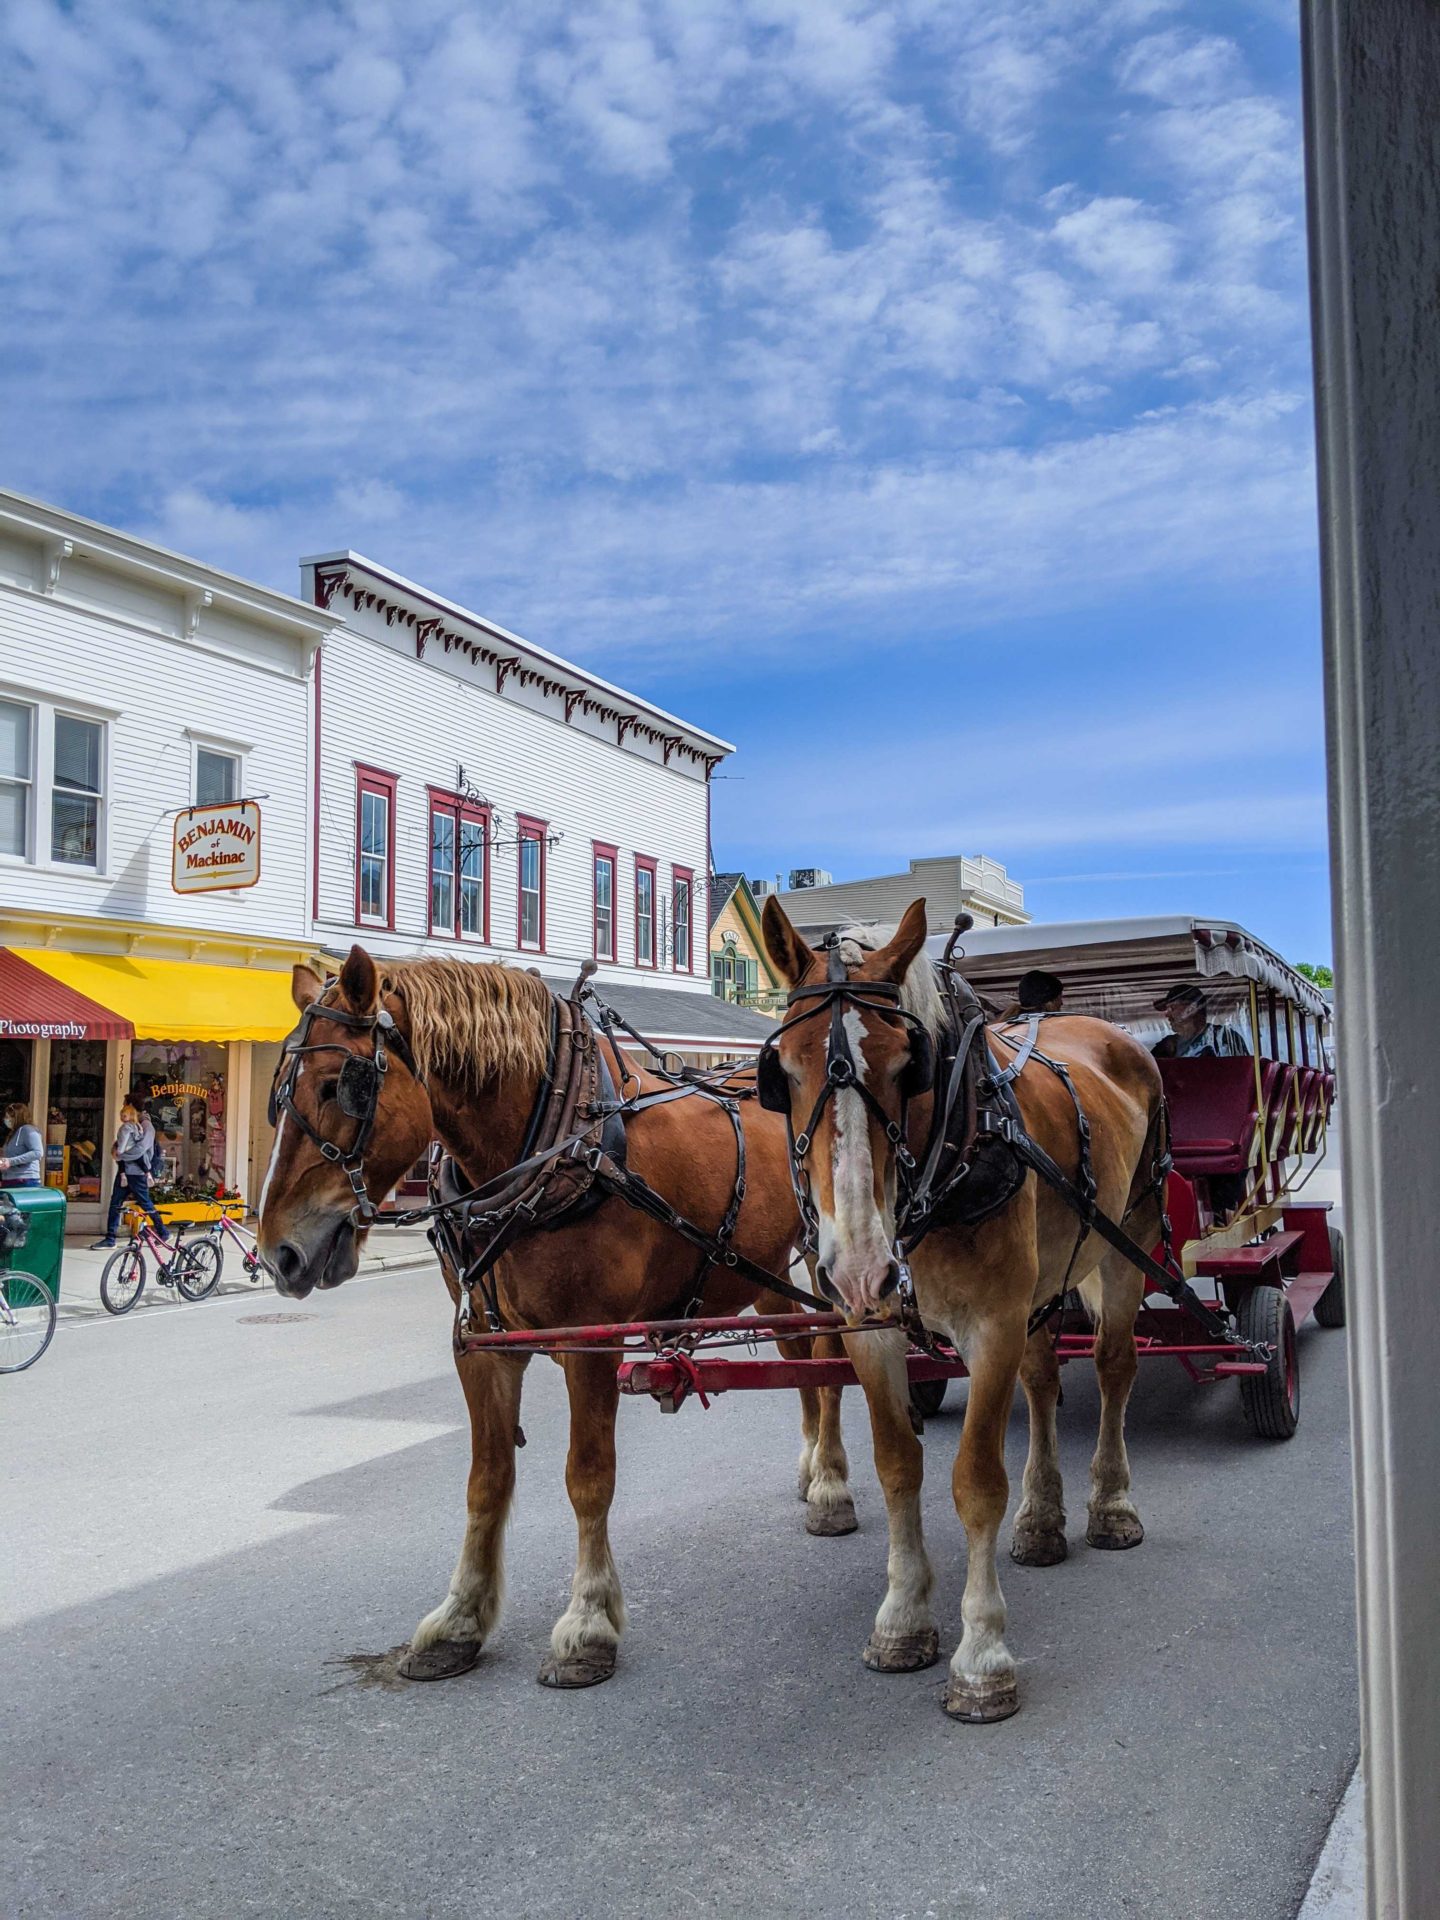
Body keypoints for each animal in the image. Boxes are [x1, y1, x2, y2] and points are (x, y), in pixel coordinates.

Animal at [255, 952, 864, 1689]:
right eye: (278, 1093)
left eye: (340, 1085)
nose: (279, 1253)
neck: (555, 1150)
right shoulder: (483, 1343)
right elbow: (486, 1482)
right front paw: (458, 1620)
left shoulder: (588, 1342)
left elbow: (587, 1478)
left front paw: (589, 1623)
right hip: (758, 1268)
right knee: (801, 1352)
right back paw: (812, 1468)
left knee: (835, 1346)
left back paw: (832, 1486)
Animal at [760, 898, 1167, 1728]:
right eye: (781, 1071)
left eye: (904, 1067)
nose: (859, 1263)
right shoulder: (872, 1327)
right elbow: (897, 1467)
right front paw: (902, 1619)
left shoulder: (993, 1326)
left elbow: (976, 1482)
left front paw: (982, 1656)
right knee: (1043, 1384)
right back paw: (1042, 1520)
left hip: (1126, 1244)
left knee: (1114, 1368)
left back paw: (1111, 1504)